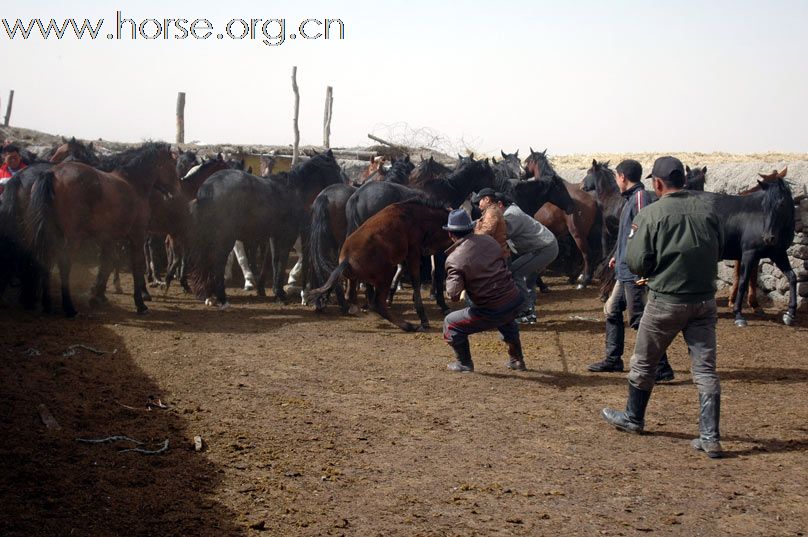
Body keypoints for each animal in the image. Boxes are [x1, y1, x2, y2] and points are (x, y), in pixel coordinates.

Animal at [26, 142, 177, 318]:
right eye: (173, 163)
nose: (176, 191)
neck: (133, 184)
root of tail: (52, 173)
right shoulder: (136, 236)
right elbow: (135, 265)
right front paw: (140, 303)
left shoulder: (110, 237)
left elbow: (107, 263)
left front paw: (97, 296)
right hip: (72, 238)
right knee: (64, 265)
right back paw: (69, 308)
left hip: (52, 235)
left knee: (47, 261)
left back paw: (47, 304)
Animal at [306, 198, 452, 330]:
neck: (416, 217)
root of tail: (347, 259)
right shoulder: (413, 253)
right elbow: (416, 282)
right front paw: (423, 319)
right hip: (387, 273)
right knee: (378, 304)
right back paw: (407, 325)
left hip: (355, 279)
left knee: (351, 296)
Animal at [524, 147, 600, 288]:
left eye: (527, 161)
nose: (522, 174)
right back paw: (575, 277)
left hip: (578, 235)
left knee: (587, 255)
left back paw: (584, 281)